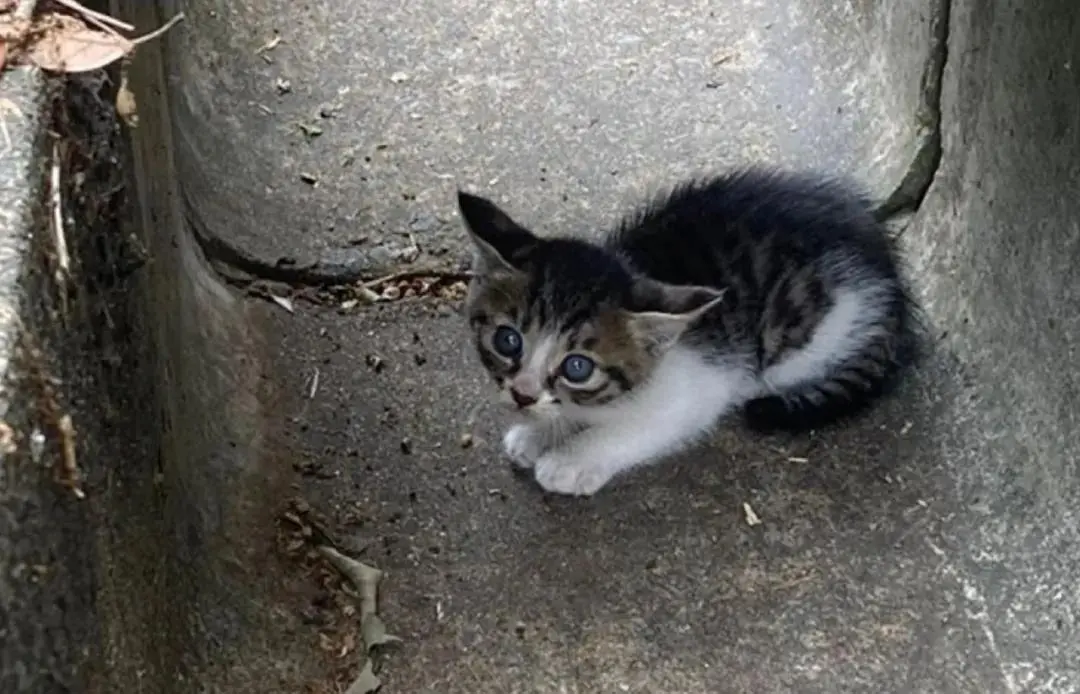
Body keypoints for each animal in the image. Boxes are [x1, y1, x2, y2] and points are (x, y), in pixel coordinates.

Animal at [455, 167, 920, 494]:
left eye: (577, 367)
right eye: (508, 341)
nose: (522, 395)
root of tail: (889, 270)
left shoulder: (697, 387)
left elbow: (637, 428)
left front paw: (570, 459)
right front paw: (538, 434)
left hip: (812, 337)